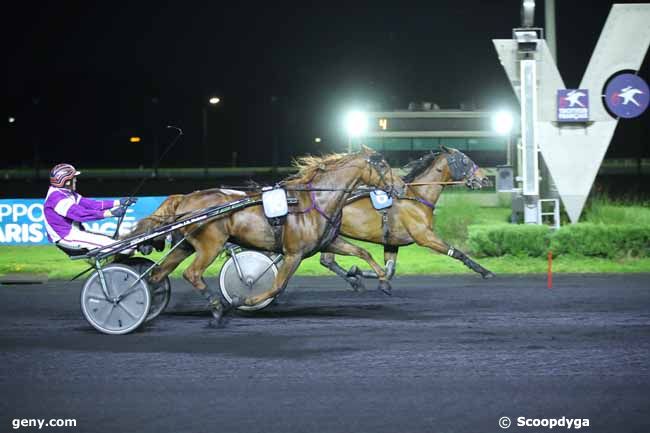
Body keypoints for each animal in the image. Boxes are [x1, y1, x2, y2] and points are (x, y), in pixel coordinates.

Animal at [126, 147, 390, 322]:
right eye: (383, 166)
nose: (396, 187)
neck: (314, 201)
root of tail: (185, 198)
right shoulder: (293, 254)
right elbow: (276, 286)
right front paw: (244, 300)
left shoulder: (328, 242)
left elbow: (362, 252)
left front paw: (382, 280)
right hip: (210, 245)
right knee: (191, 273)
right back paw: (216, 307)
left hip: (186, 245)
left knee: (159, 274)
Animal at [318, 143, 492, 292]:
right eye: (465, 160)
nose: (484, 179)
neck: (416, 197)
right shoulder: (425, 236)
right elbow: (457, 252)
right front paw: (485, 272)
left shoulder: (392, 243)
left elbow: (390, 270)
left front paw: (357, 271)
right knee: (327, 260)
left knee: (327, 260)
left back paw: (354, 282)